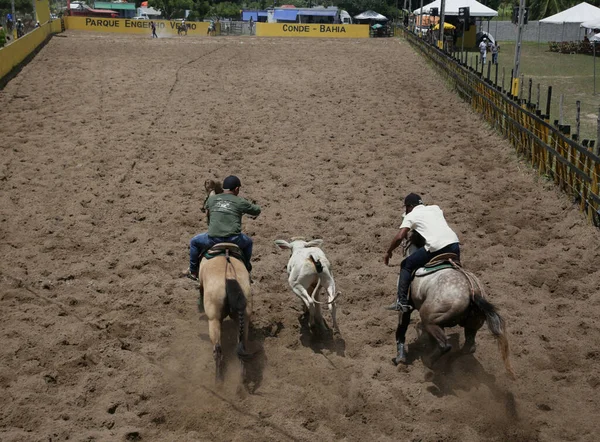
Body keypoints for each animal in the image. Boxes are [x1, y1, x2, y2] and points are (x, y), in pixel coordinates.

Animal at [198, 245, 252, 384]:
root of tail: (229, 274)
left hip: (214, 319)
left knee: (217, 349)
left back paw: (218, 381)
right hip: (243, 316)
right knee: (242, 344)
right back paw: (242, 378)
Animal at [394, 231, 516, 380]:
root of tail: (472, 291)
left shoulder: (405, 307)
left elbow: (402, 327)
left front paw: (400, 357)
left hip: (430, 318)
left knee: (444, 345)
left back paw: (428, 363)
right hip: (472, 324)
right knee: (468, 348)